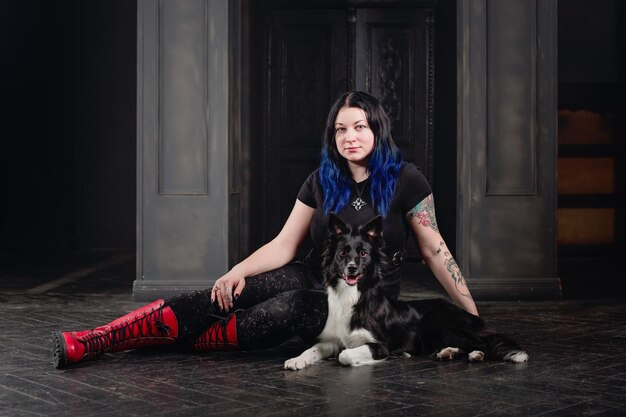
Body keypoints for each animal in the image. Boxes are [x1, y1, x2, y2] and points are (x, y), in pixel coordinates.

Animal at [284, 213, 528, 368]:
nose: (351, 268)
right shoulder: (333, 339)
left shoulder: (381, 345)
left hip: (443, 325)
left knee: (484, 341)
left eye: (363, 254)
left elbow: (345, 355)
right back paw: (448, 352)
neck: (351, 296)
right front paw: (297, 360)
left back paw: (477, 353)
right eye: (343, 253)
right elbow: (313, 349)